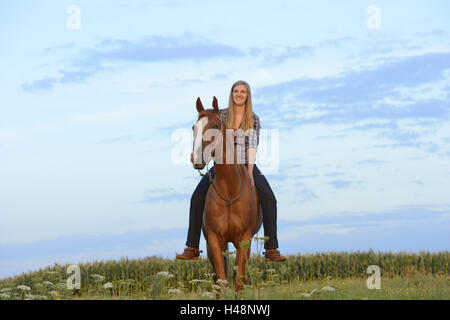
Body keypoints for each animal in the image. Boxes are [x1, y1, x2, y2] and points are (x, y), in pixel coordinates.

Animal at [191, 95, 264, 292]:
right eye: (194, 127)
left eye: (216, 126)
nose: (197, 158)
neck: (230, 191)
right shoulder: (214, 241)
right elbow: (222, 282)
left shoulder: (244, 241)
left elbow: (239, 281)